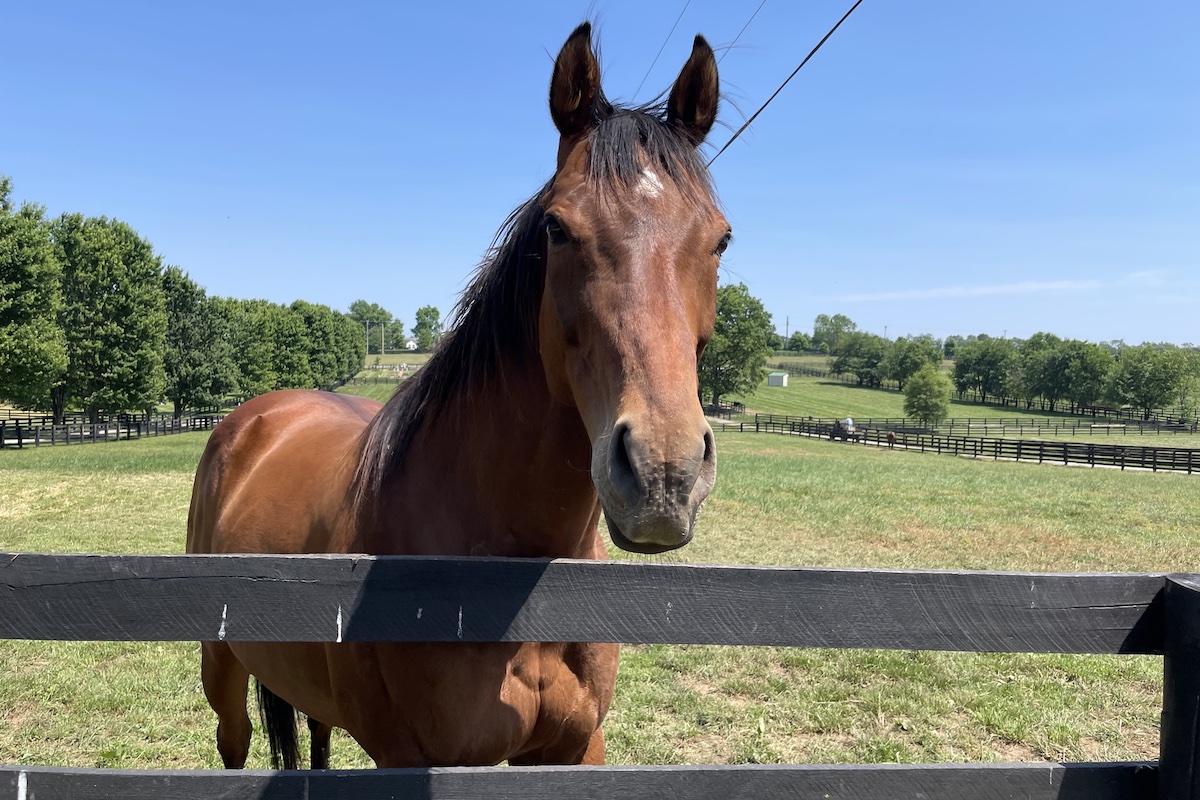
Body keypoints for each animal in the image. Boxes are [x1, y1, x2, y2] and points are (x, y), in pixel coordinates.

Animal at [187, 23, 729, 767]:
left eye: (721, 239)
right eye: (557, 228)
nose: (664, 473)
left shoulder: (575, 749)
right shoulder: (413, 759)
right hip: (223, 671)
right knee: (235, 743)